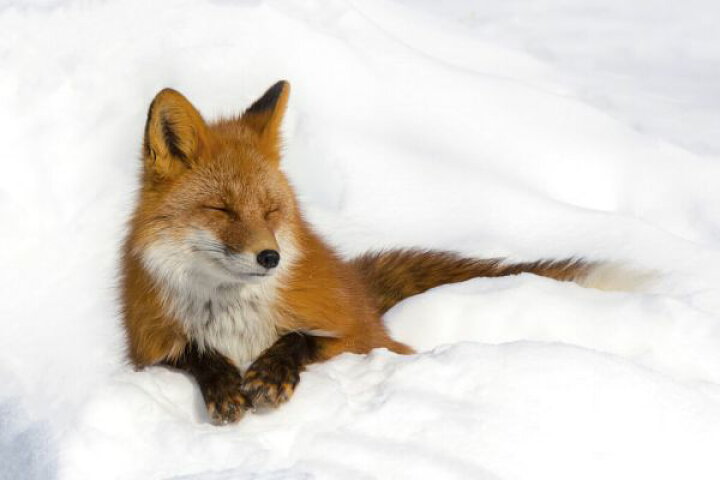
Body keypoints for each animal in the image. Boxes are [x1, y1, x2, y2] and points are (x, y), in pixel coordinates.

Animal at [121, 80, 636, 424]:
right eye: (221, 209)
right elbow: (193, 354)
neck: (235, 319)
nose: (271, 258)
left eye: (271, 210)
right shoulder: (147, 348)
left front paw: (271, 373)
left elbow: (303, 339)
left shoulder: (358, 336)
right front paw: (224, 383)